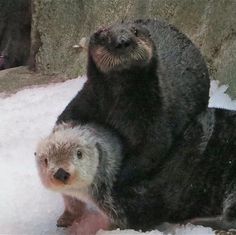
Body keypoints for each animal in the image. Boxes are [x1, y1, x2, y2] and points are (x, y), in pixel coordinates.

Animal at [57, 18, 210, 184]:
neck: (116, 108)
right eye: (104, 35)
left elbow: (150, 151)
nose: (123, 41)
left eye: (135, 31)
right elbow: (65, 118)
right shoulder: (88, 99)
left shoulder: (155, 116)